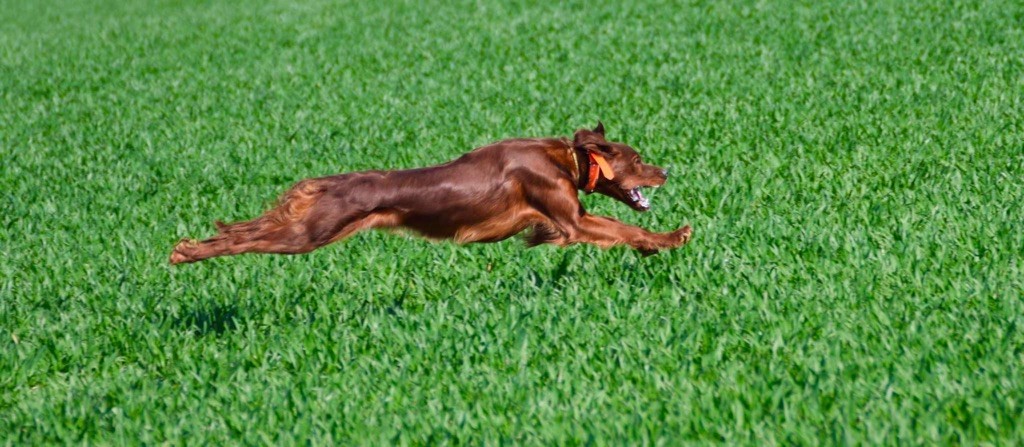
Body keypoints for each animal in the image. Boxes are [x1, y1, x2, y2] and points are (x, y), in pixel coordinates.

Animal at [172, 121, 692, 263]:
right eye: (638, 159)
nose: (666, 171)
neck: (564, 157)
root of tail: (330, 182)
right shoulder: (572, 221)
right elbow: (624, 227)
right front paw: (670, 239)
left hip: (308, 227)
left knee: (245, 229)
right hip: (308, 234)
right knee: (246, 239)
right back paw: (186, 253)